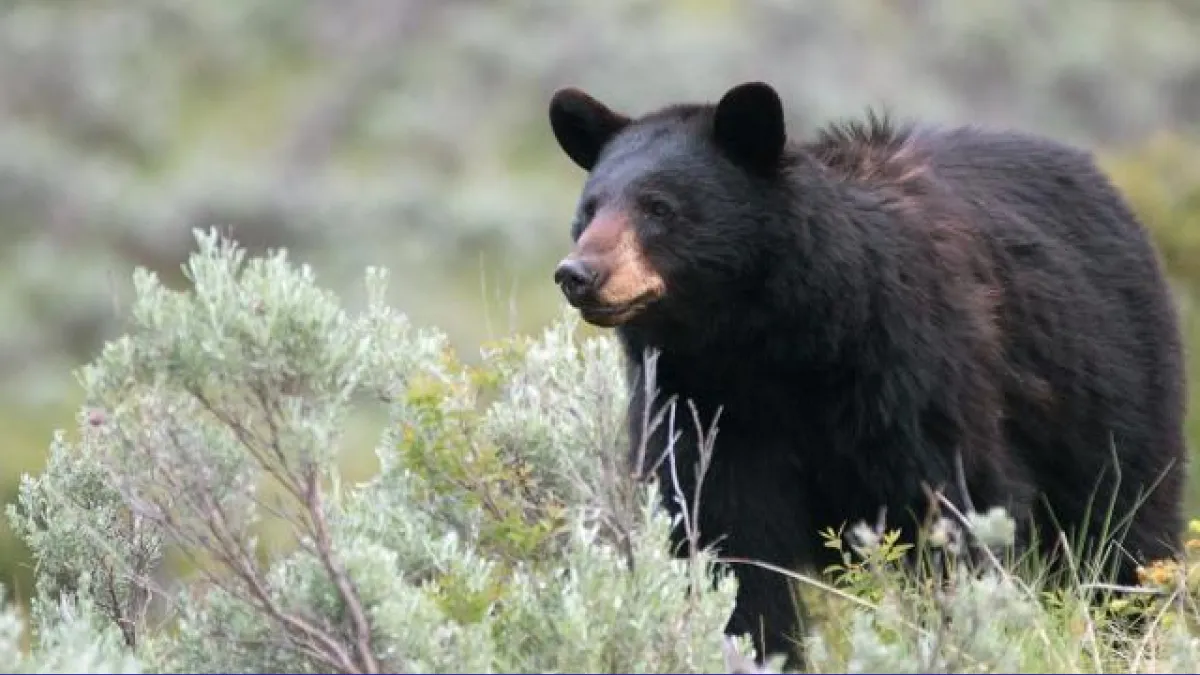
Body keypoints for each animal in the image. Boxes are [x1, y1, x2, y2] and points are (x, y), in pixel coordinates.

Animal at [549, 79, 1185, 662]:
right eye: (589, 209)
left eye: (659, 207)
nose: (578, 274)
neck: (771, 346)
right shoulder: (702, 408)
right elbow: (726, 544)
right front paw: (755, 647)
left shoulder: (912, 373)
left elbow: (955, 509)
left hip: (1111, 383)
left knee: (1124, 525)